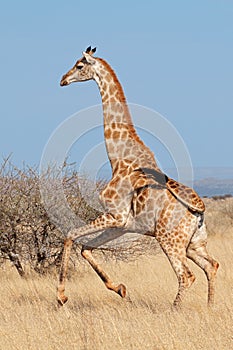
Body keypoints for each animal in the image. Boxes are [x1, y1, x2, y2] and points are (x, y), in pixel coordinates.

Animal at [57, 45, 219, 306]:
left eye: (79, 65)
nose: (63, 79)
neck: (119, 158)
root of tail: (199, 211)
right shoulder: (124, 225)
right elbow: (86, 248)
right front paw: (120, 289)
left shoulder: (115, 215)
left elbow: (71, 235)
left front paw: (61, 296)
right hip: (194, 243)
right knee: (211, 266)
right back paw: (209, 307)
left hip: (169, 240)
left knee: (186, 275)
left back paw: (173, 310)